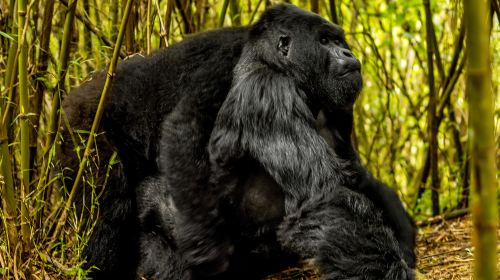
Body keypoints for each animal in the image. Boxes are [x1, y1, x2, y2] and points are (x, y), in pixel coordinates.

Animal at [58, 2, 416, 280]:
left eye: (339, 41)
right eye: (325, 40)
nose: (347, 52)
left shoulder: (337, 109)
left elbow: (353, 178)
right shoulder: (262, 88)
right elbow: (326, 195)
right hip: (85, 133)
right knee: (113, 208)